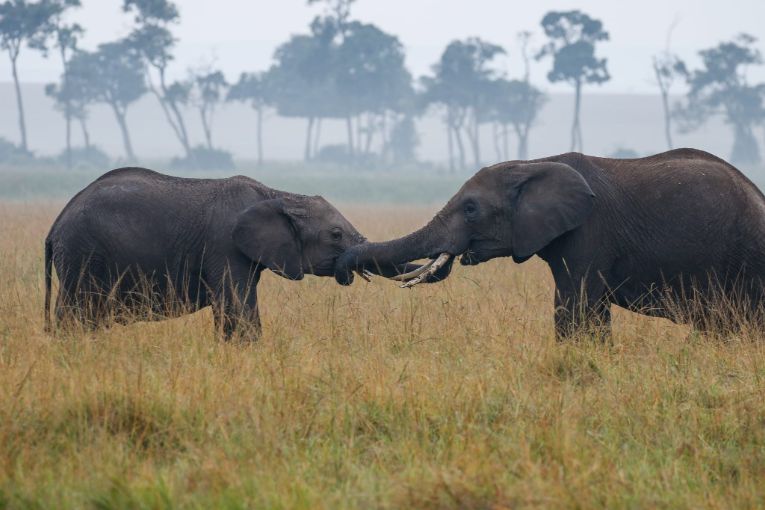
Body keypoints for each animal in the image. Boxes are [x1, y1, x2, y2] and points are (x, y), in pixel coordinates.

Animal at [43, 167, 418, 340]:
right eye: (336, 234)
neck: (277, 194)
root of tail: (55, 225)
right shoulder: (224, 246)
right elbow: (238, 310)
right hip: (83, 256)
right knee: (75, 314)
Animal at [336, 147, 765, 338]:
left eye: (471, 208)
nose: (343, 268)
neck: (533, 163)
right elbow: (575, 308)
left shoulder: (591, 231)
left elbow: (577, 307)